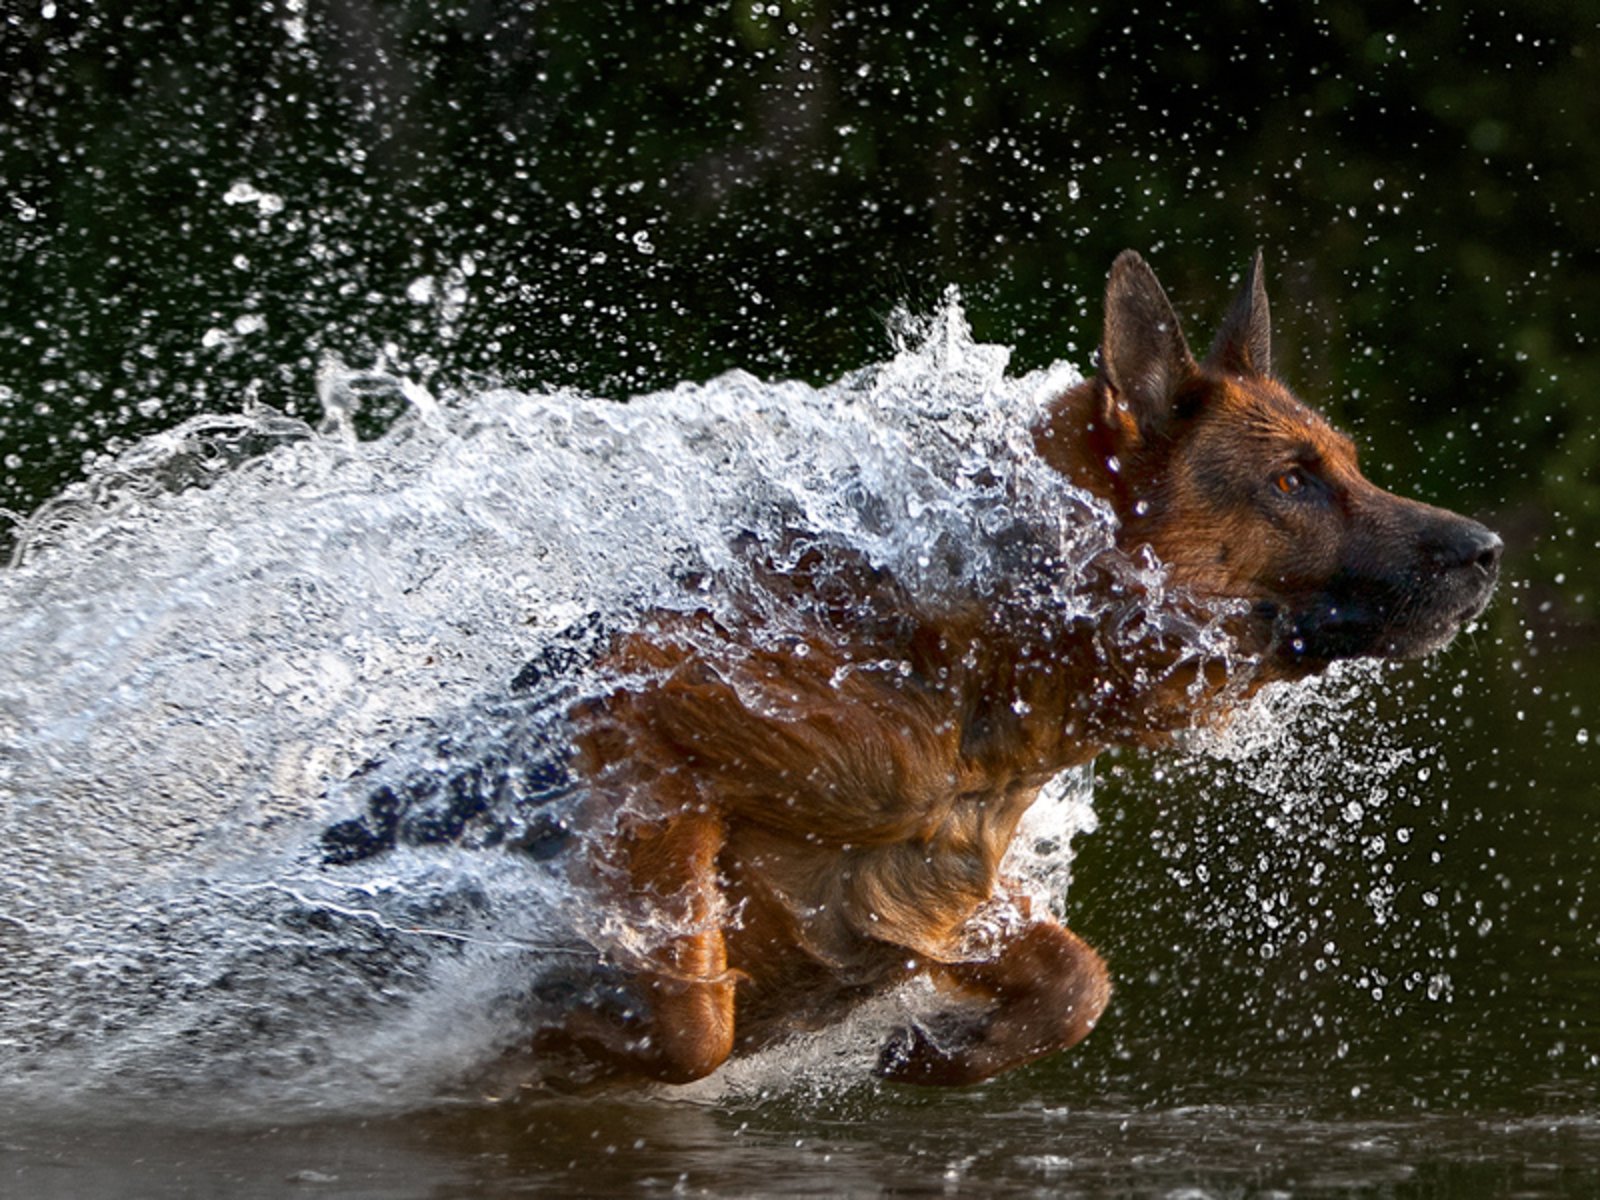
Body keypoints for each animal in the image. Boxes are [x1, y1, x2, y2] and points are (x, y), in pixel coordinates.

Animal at [334, 254, 1497, 1088]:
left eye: (1348, 464)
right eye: (1295, 482)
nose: (1488, 550)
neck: (988, 651)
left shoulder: (917, 889)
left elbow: (1078, 983)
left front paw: (942, 1054)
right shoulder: (643, 732)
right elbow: (694, 1015)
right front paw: (553, 1022)